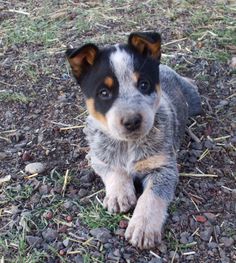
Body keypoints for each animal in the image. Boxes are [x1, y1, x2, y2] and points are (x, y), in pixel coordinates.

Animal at [66, 32, 201, 250]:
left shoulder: (164, 167)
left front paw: (143, 227)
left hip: (195, 101)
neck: (128, 146)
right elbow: (114, 170)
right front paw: (119, 195)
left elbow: (152, 197)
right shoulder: (98, 157)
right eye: (104, 92)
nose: (132, 121)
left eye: (144, 84)